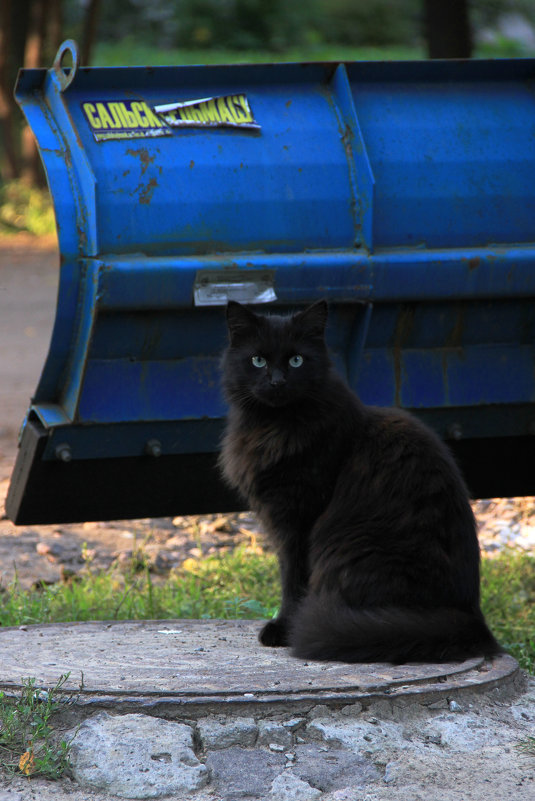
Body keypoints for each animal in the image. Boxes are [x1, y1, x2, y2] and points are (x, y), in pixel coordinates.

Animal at [219, 300, 502, 664]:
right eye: (258, 360)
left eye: (296, 360)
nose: (278, 381)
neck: (273, 427)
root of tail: (472, 619)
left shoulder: (298, 520)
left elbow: (293, 581)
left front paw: (283, 629)